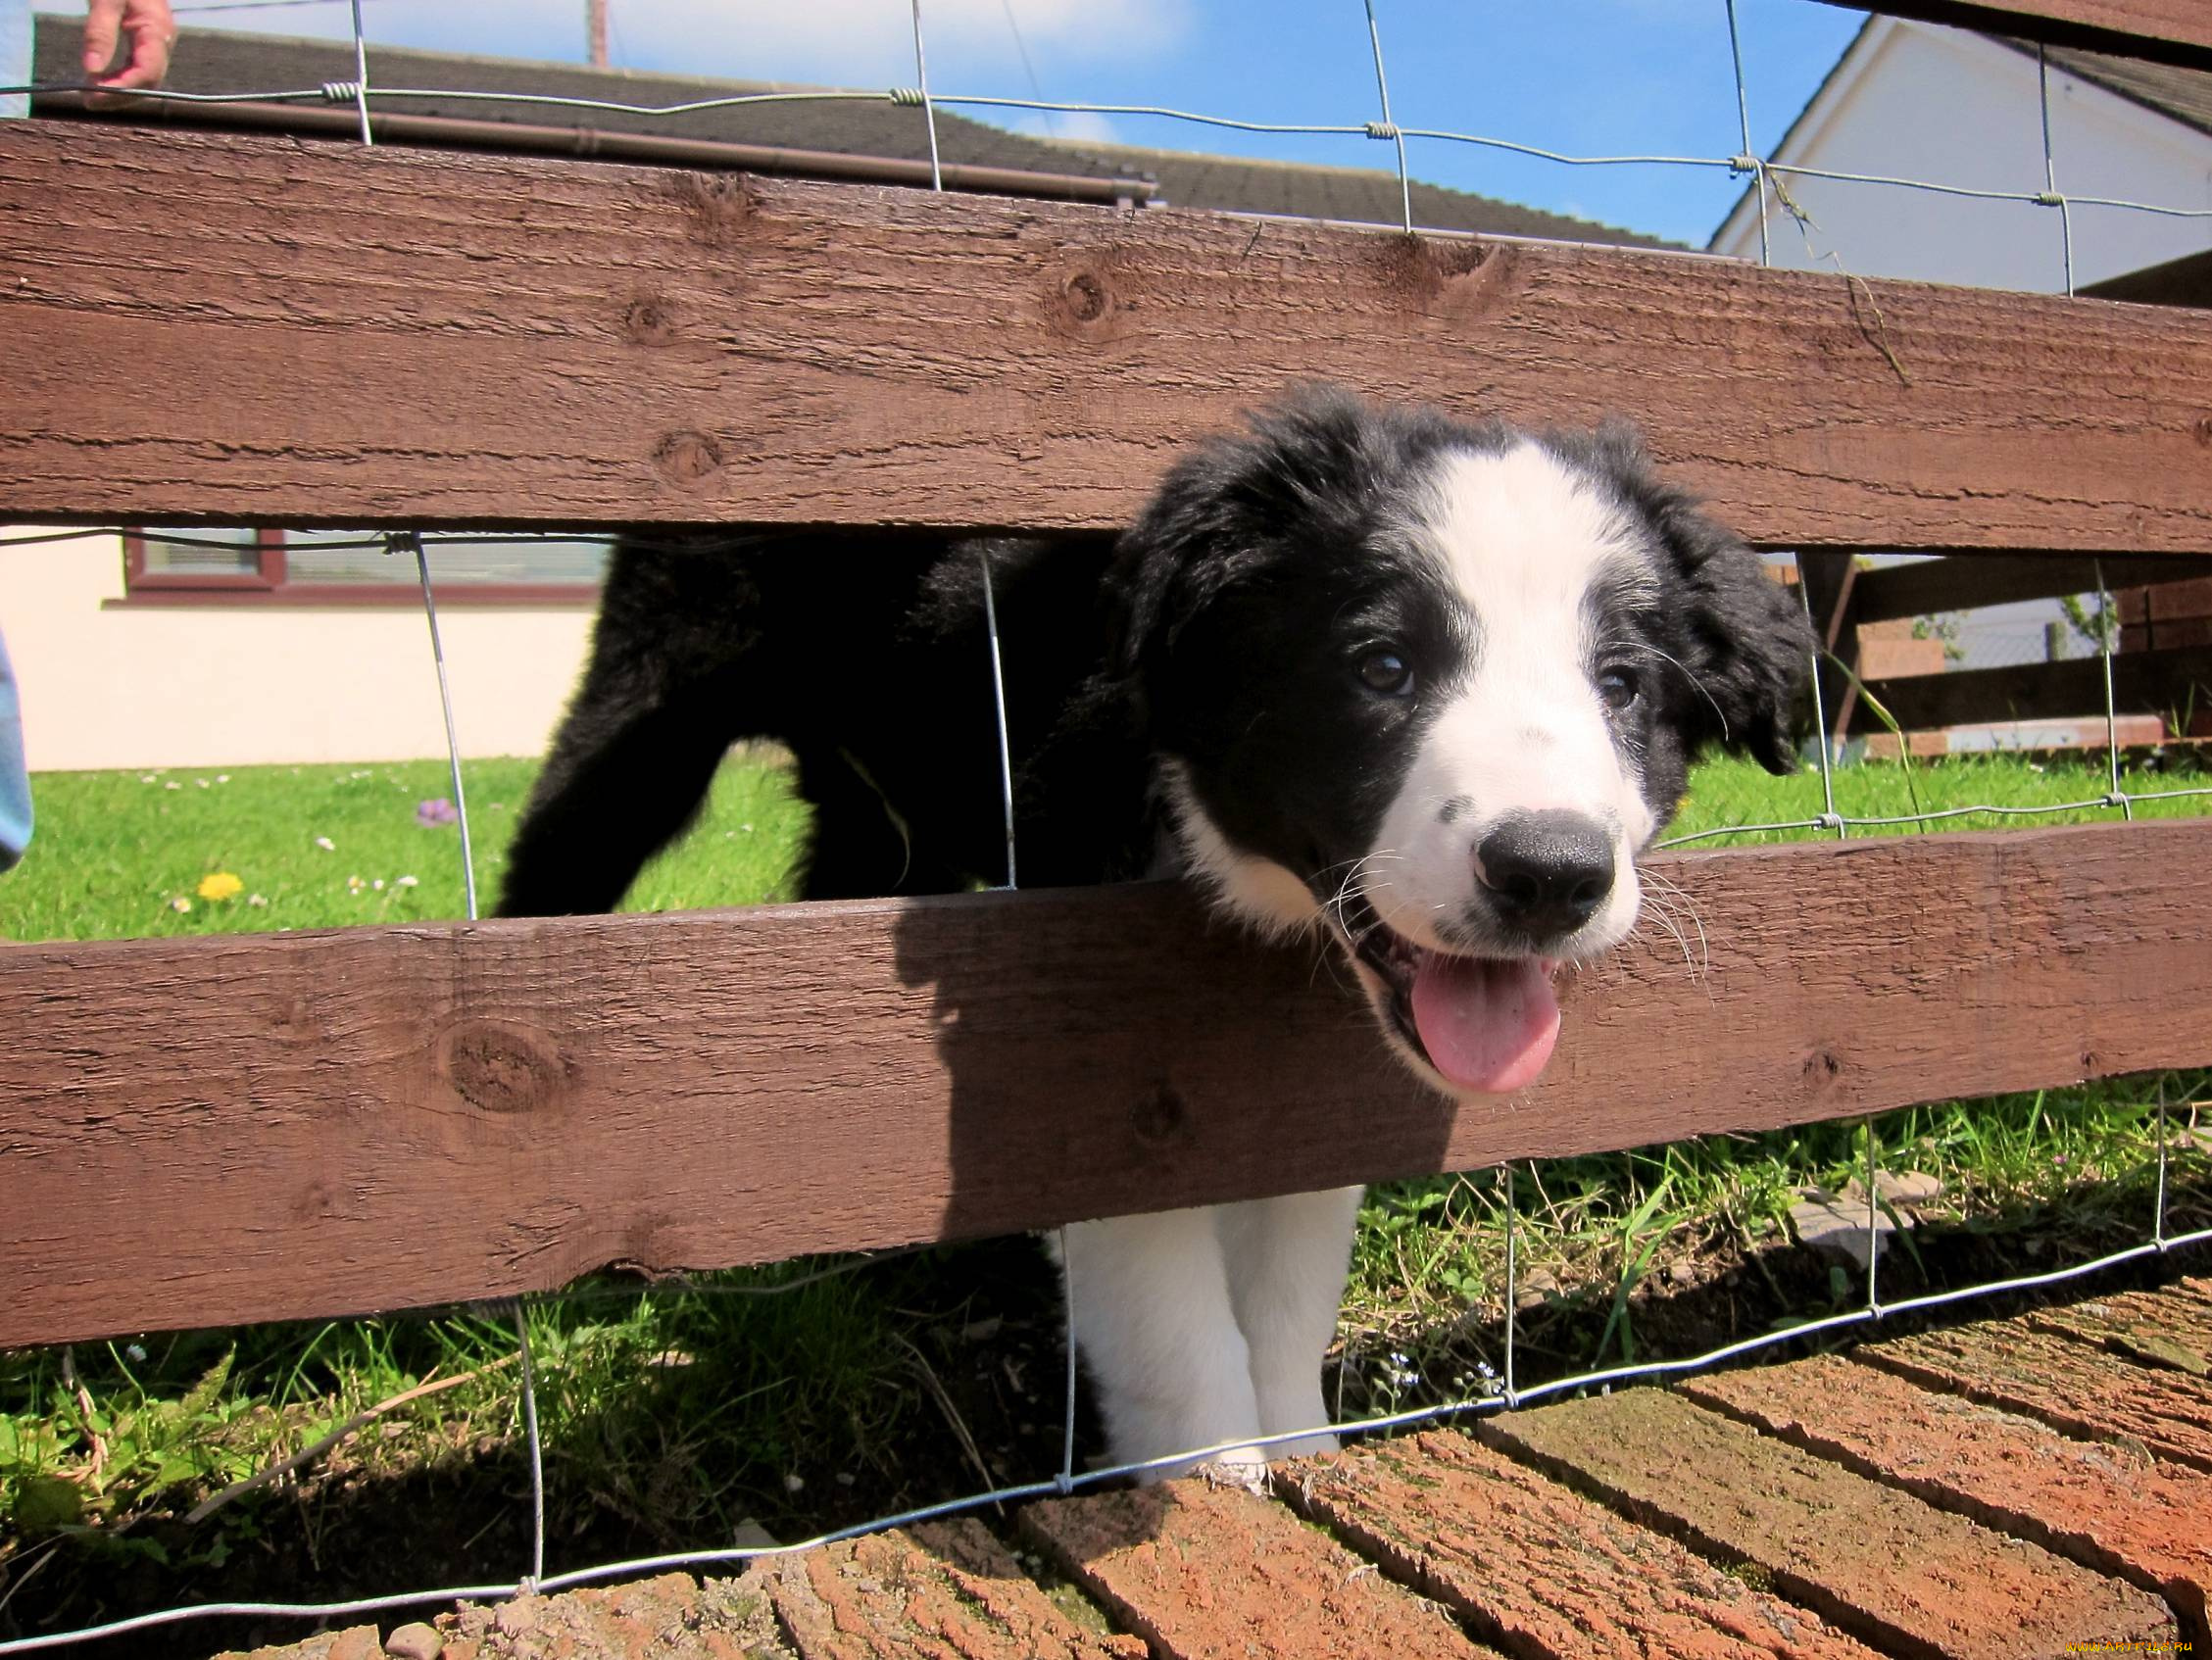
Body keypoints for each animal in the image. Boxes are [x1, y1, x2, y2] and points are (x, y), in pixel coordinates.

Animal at [502, 386, 1813, 1476]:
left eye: (1621, 685)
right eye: (1381, 665)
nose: (1549, 871)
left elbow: (1288, 1281)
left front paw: (1300, 1444)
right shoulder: (1096, 1037)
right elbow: (1171, 1305)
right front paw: (1219, 1474)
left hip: (877, 819)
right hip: (644, 712)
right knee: (549, 866)